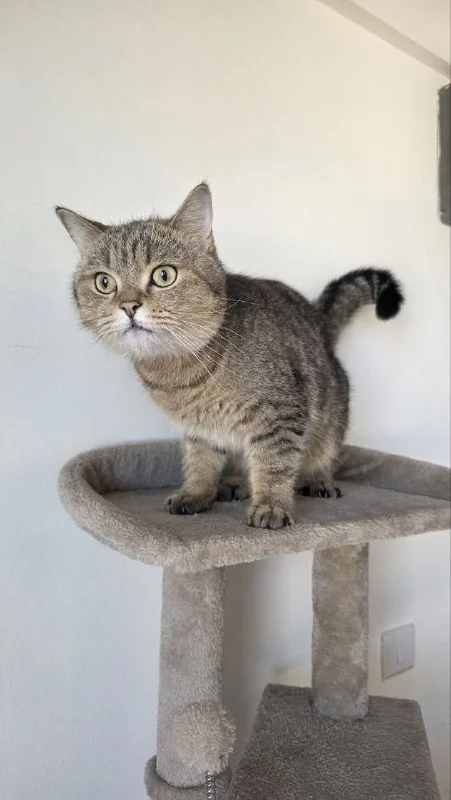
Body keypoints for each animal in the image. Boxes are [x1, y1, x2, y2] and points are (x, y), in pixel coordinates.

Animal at [56, 183, 404, 530]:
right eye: (104, 282)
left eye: (163, 275)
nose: (128, 306)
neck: (180, 371)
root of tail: (319, 318)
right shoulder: (200, 428)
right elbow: (200, 461)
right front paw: (197, 493)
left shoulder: (282, 413)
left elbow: (274, 463)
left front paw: (271, 505)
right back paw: (234, 483)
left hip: (331, 412)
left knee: (321, 451)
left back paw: (316, 478)